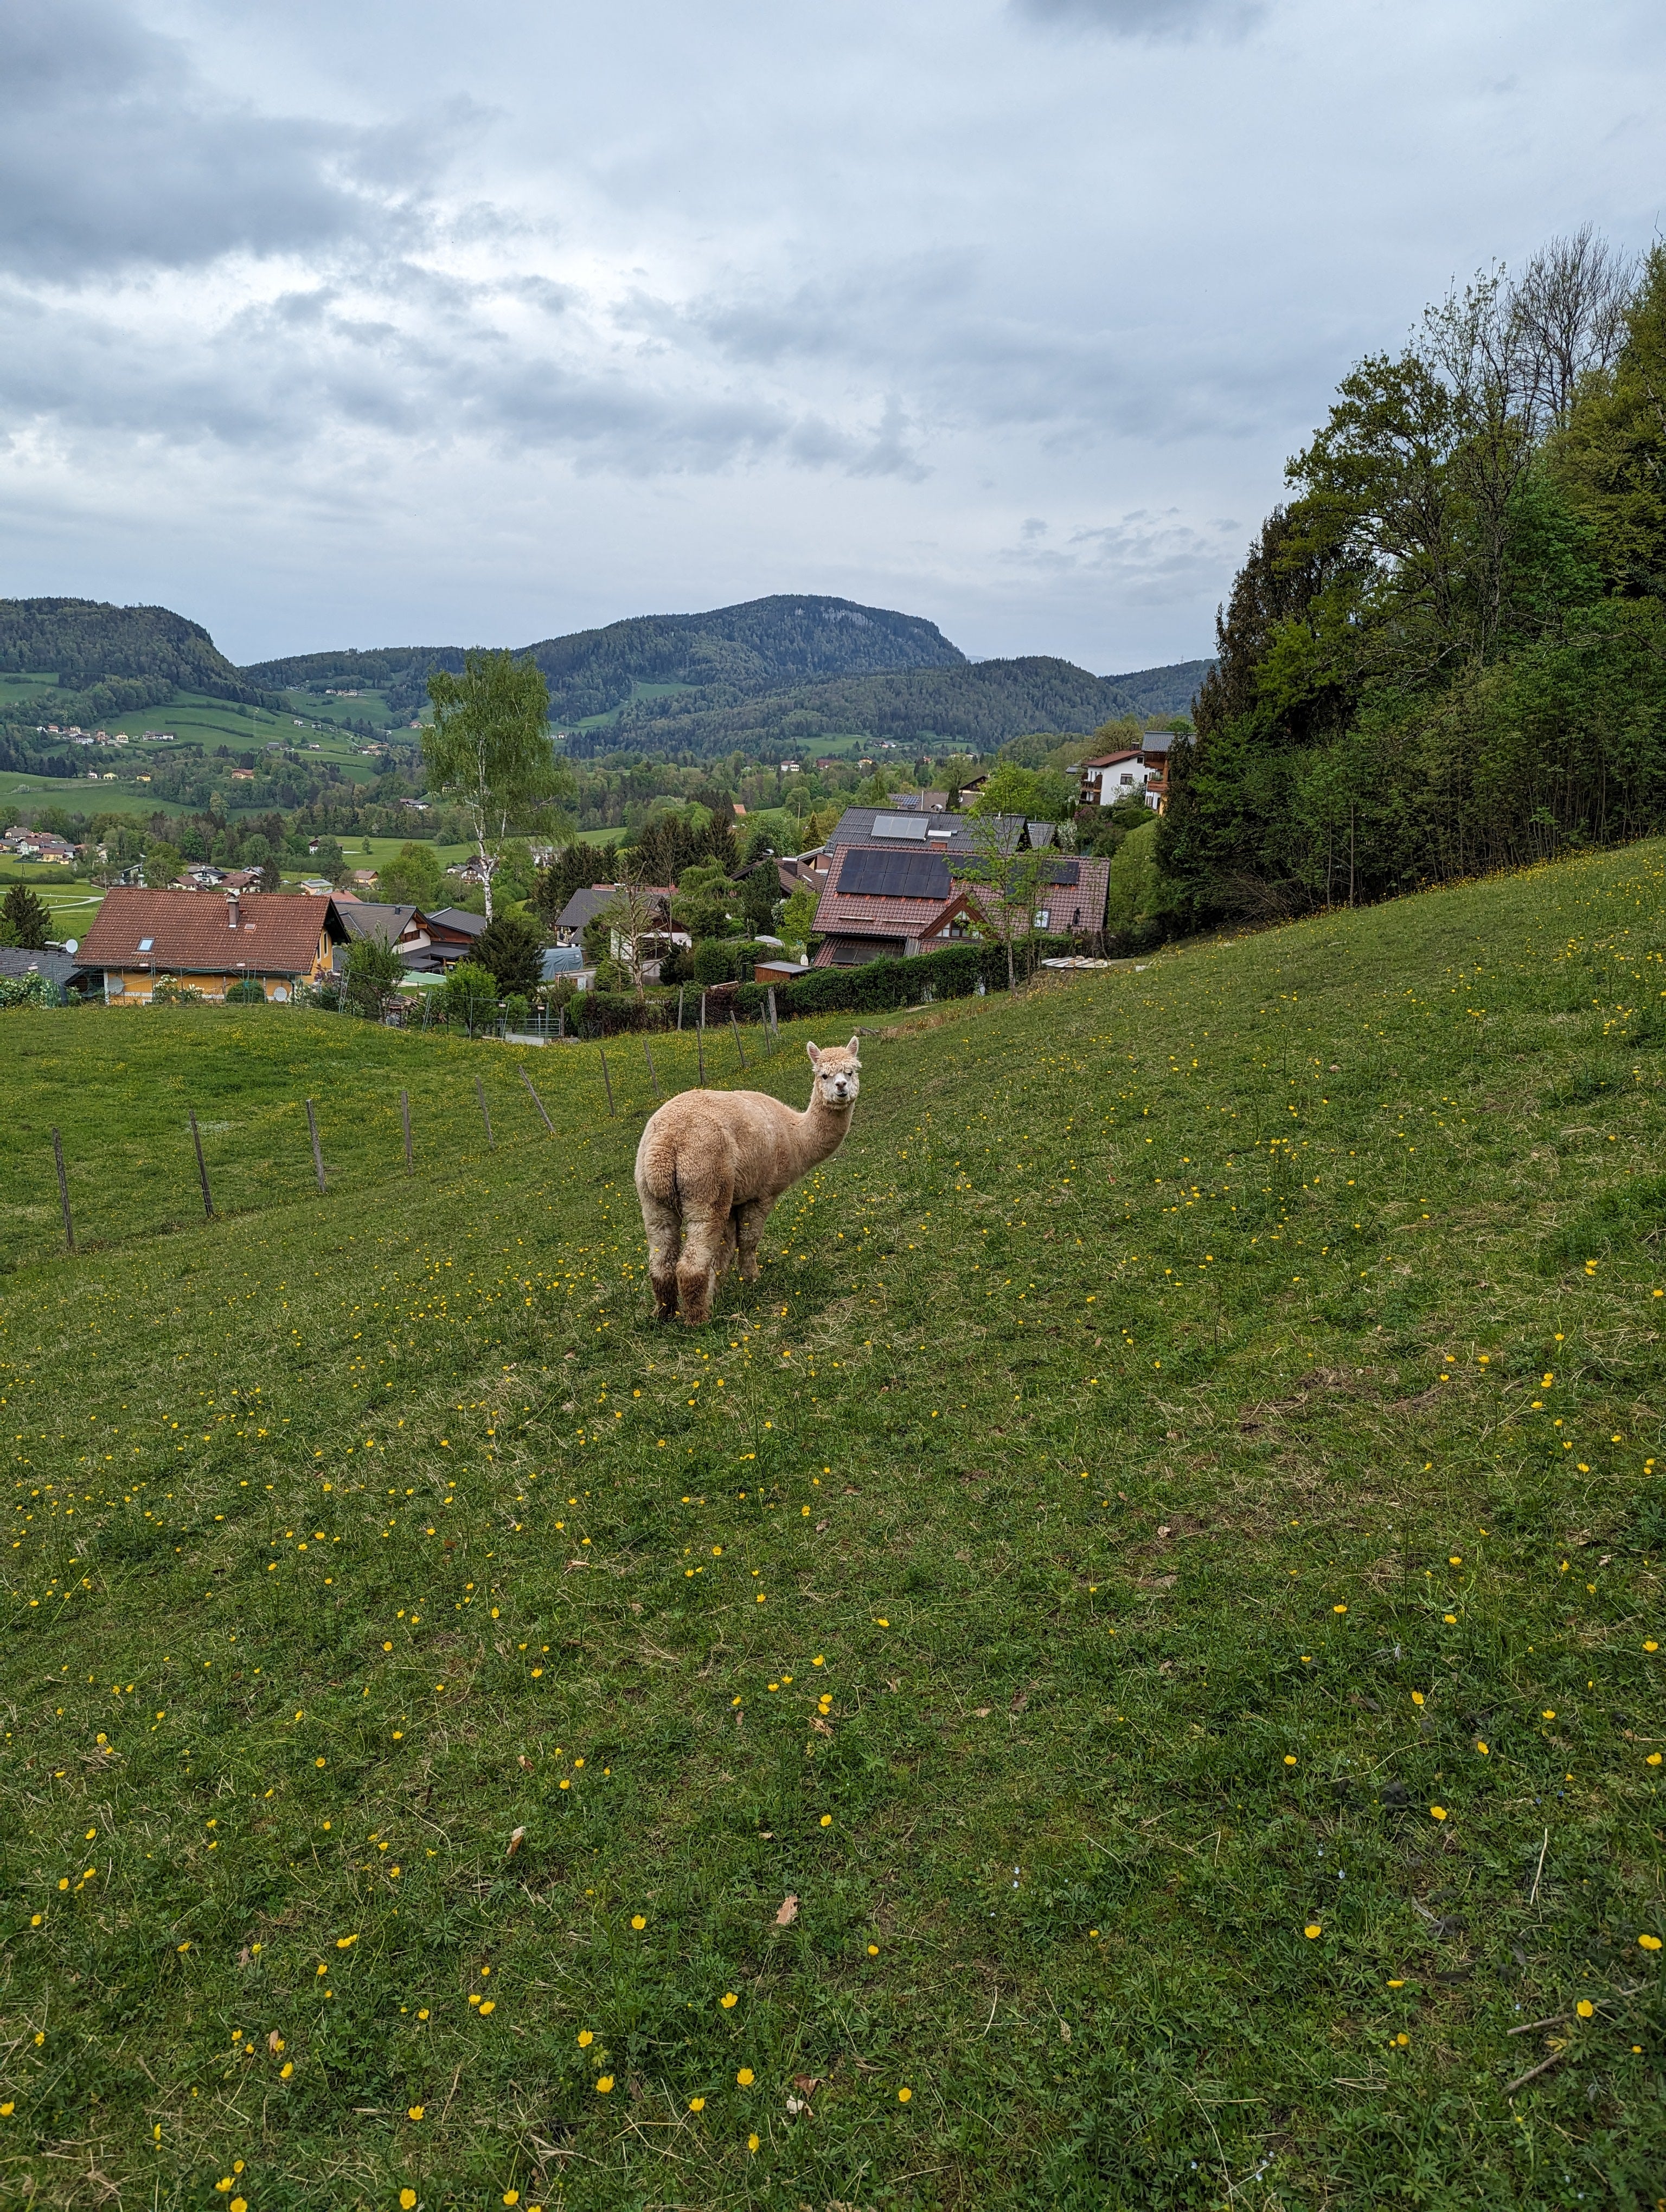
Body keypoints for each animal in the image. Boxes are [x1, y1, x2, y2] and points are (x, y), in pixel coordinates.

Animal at [634, 1037, 862, 1324]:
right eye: (824, 1075)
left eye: (851, 1072)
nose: (842, 1087)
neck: (794, 1135)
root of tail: (666, 1143)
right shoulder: (761, 1193)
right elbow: (749, 1239)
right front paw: (751, 1279)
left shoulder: (735, 1198)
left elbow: (725, 1249)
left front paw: (717, 1292)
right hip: (706, 1181)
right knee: (690, 1264)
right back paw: (699, 1320)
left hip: (652, 1197)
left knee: (661, 1262)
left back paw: (666, 1314)